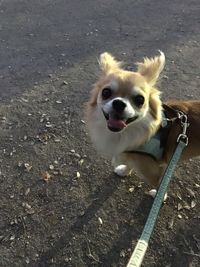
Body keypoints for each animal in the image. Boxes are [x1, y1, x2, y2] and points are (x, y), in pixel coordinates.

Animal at [85, 51, 200, 194]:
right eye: (106, 92)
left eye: (140, 100)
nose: (119, 103)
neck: (124, 134)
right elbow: (129, 164)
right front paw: (124, 171)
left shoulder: (154, 172)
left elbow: (159, 185)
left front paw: (158, 194)